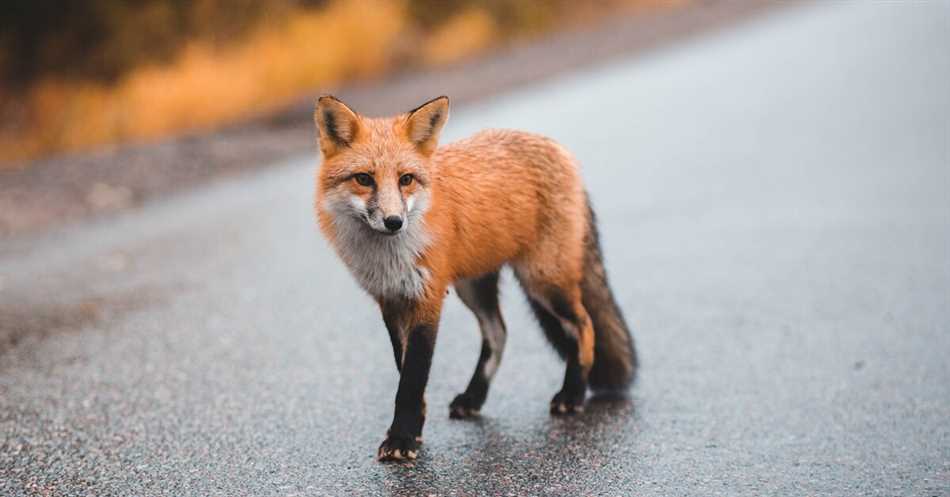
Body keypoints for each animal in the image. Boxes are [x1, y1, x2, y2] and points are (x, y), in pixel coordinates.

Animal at [314, 94, 640, 462]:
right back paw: (474, 397)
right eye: (364, 179)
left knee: (584, 325)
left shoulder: (427, 298)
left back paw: (572, 393)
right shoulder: (391, 300)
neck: (389, 257)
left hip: (543, 280)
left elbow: (412, 378)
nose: (394, 222)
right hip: (474, 286)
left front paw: (402, 438)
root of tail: (558, 148)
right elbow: (405, 372)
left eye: (406, 179)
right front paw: (414, 429)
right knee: (499, 333)